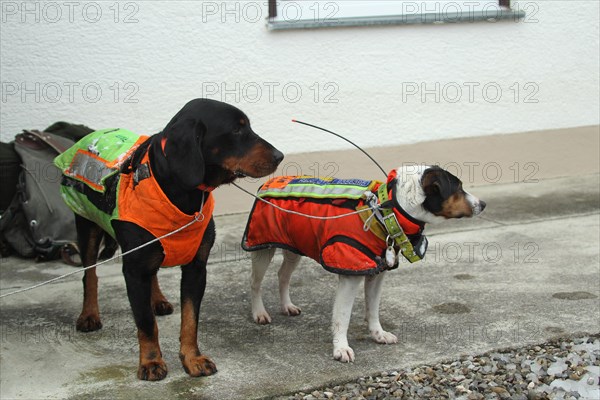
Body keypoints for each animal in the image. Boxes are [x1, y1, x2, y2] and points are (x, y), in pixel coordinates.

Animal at [55, 98, 282, 380]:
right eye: (237, 130)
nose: (280, 156)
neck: (181, 194)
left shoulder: (197, 267)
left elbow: (191, 319)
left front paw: (192, 358)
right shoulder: (134, 269)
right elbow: (145, 322)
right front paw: (151, 361)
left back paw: (158, 300)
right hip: (87, 224)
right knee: (90, 274)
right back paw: (89, 314)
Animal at [241, 166, 486, 362]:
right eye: (458, 188)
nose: (483, 204)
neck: (384, 212)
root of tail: (268, 182)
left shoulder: (377, 273)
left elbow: (373, 309)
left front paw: (378, 334)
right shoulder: (350, 275)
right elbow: (342, 317)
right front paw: (341, 348)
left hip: (294, 246)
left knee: (283, 275)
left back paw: (287, 305)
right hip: (262, 247)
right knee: (255, 282)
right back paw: (259, 312)